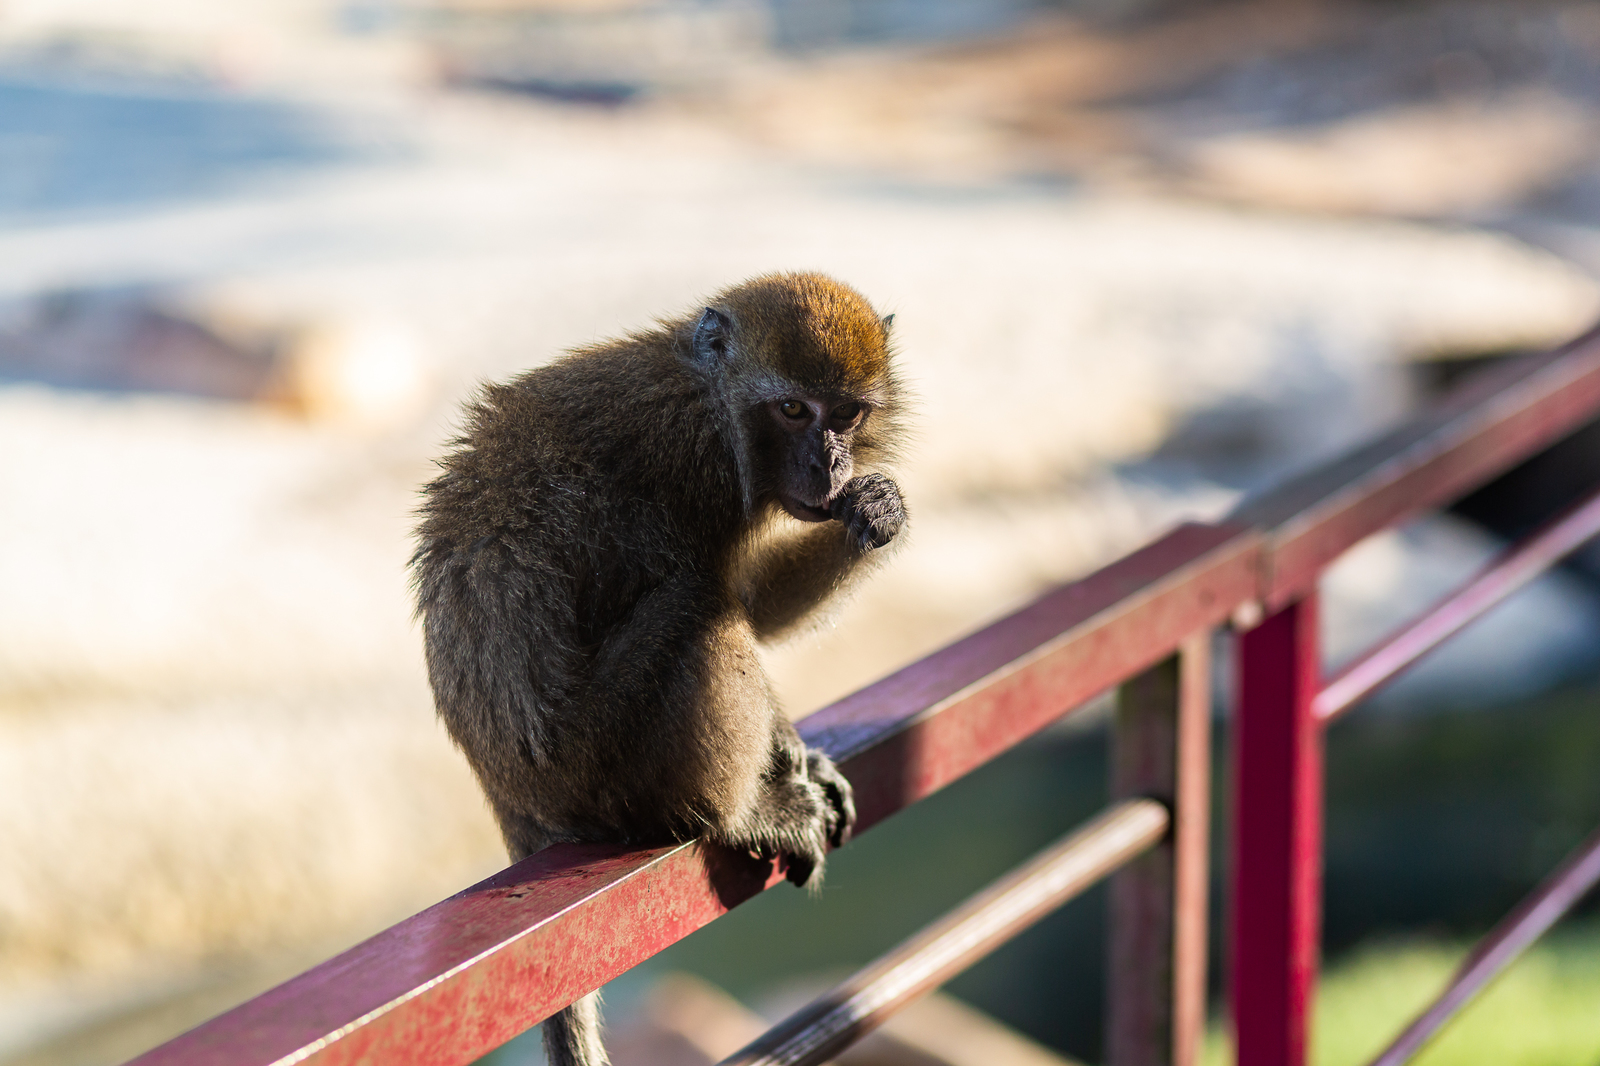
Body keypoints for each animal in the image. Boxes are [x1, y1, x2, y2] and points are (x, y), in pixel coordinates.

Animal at [409, 270, 915, 1056]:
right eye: (792, 410)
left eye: (847, 414)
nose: (828, 464)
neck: (709, 394)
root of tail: (506, 788)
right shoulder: (697, 468)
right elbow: (735, 601)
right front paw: (779, 764)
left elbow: (758, 603)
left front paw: (876, 508)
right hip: (597, 764)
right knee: (700, 602)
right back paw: (738, 816)